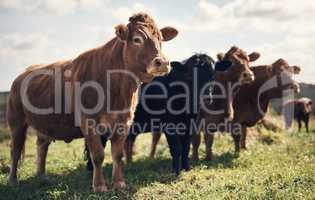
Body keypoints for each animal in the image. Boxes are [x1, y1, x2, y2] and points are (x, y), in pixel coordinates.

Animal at [7, 12, 179, 192]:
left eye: (160, 39)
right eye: (137, 39)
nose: (162, 62)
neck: (117, 89)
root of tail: (22, 74)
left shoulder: (124, 122)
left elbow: (118, 155)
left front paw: (119, 183)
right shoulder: (88, 122)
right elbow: (97, 155)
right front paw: (99, 186)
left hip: (44, 124)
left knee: (42, 146)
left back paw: (41, 176)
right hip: (16, 121)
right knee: (15, 150)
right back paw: (12, 181)